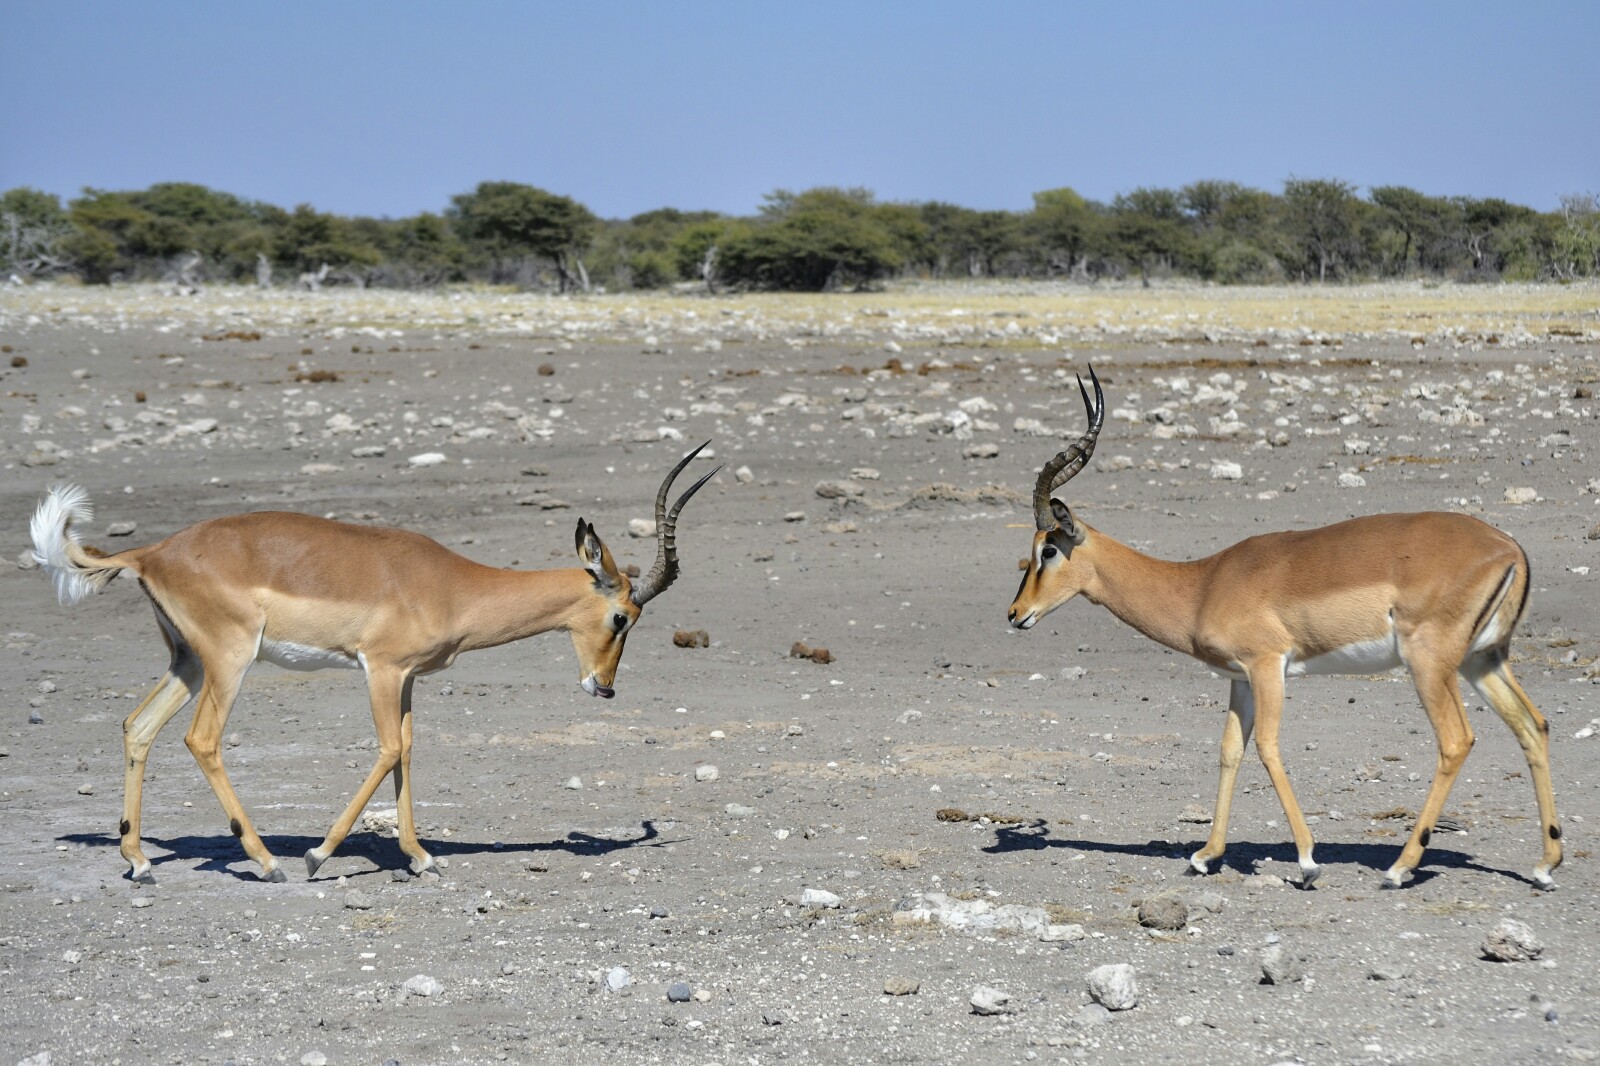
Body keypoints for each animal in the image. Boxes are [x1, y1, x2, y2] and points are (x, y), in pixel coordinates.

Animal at [30, 444, 720, 884]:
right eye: (622, 617)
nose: (603, 688)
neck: (452, 584)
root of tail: (155, 552)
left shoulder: (408, 679)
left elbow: (408, 752)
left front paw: (421, 857)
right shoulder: (380, 669)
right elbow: (388, 750)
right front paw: (318, 856)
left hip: (188, 663)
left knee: (137, 727)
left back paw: (141, 863)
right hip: (229, 660)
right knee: (201, 740)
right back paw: (269, 863)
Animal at [1008, 368, 1561, 889]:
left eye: (1048, 549)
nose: (1015, 614)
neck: (1203, 584)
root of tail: (1509, 547)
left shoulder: (1267, 665)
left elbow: (1269, 748)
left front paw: (1308, 862)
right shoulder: (1239, 679)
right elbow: (1230, 751)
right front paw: (1205, 856)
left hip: (1428, 663)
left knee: (1456, 740)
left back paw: (1400, 867)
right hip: (1481, 660)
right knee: (1533, 724)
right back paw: (1544, 865)